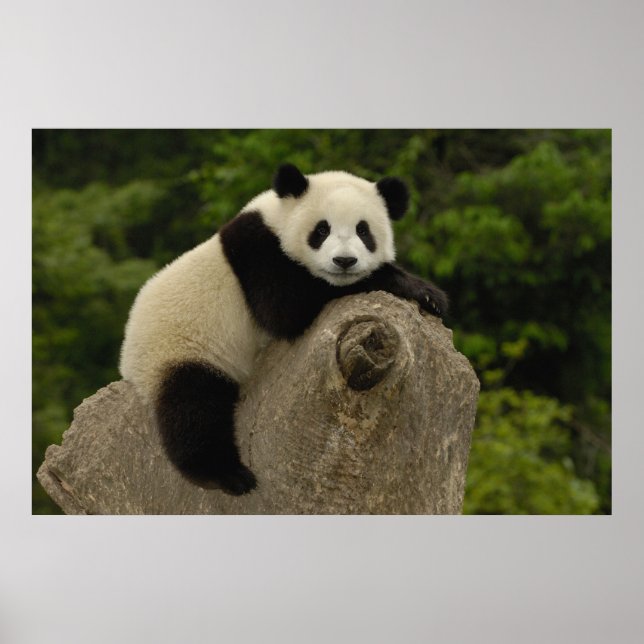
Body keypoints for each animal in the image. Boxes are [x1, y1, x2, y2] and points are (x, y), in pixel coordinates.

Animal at [119, 163, 447, 495]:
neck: (278, 217)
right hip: (181, 349)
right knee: (193, 407)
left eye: (363, 230)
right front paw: (417, 287)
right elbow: (286, 307)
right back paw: (226, 475)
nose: (344, 261)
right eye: (321, 230)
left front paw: (429, 297)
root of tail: (128, 363)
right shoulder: (258, 252)